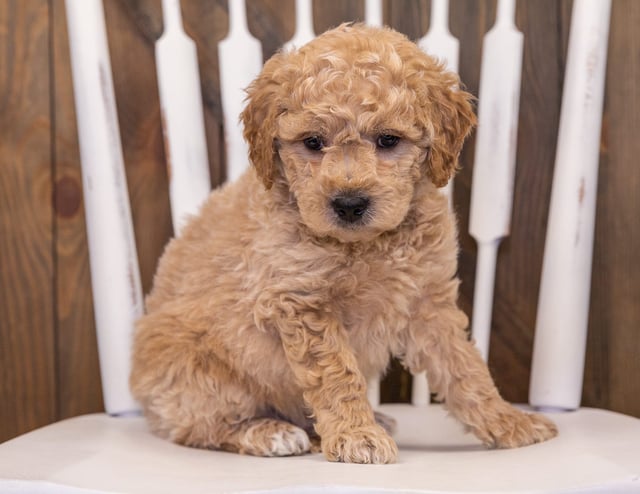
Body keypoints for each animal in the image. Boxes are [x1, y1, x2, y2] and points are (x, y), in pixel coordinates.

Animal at [130, 22, 556, 464]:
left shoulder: (428, 301)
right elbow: (337, 375)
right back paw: (270, 433)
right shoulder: (301, 300)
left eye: (388, 140)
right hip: (202, 376)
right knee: (201, 427)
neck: (365, 244)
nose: (349, 204)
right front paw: (356, 435)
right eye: (313, 142)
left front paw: (509, 422)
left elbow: (465, 368)